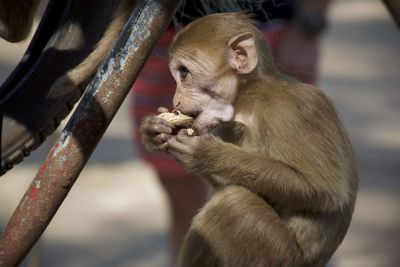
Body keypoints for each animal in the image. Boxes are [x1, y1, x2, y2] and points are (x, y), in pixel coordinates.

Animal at [141, 12, 360, 267]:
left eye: (184, 73)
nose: (175, 100)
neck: (251, 102)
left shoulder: (297, 111)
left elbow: (325, 189)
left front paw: (206, 154)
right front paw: (153, 130)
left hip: (278, 255)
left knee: (233, 204)